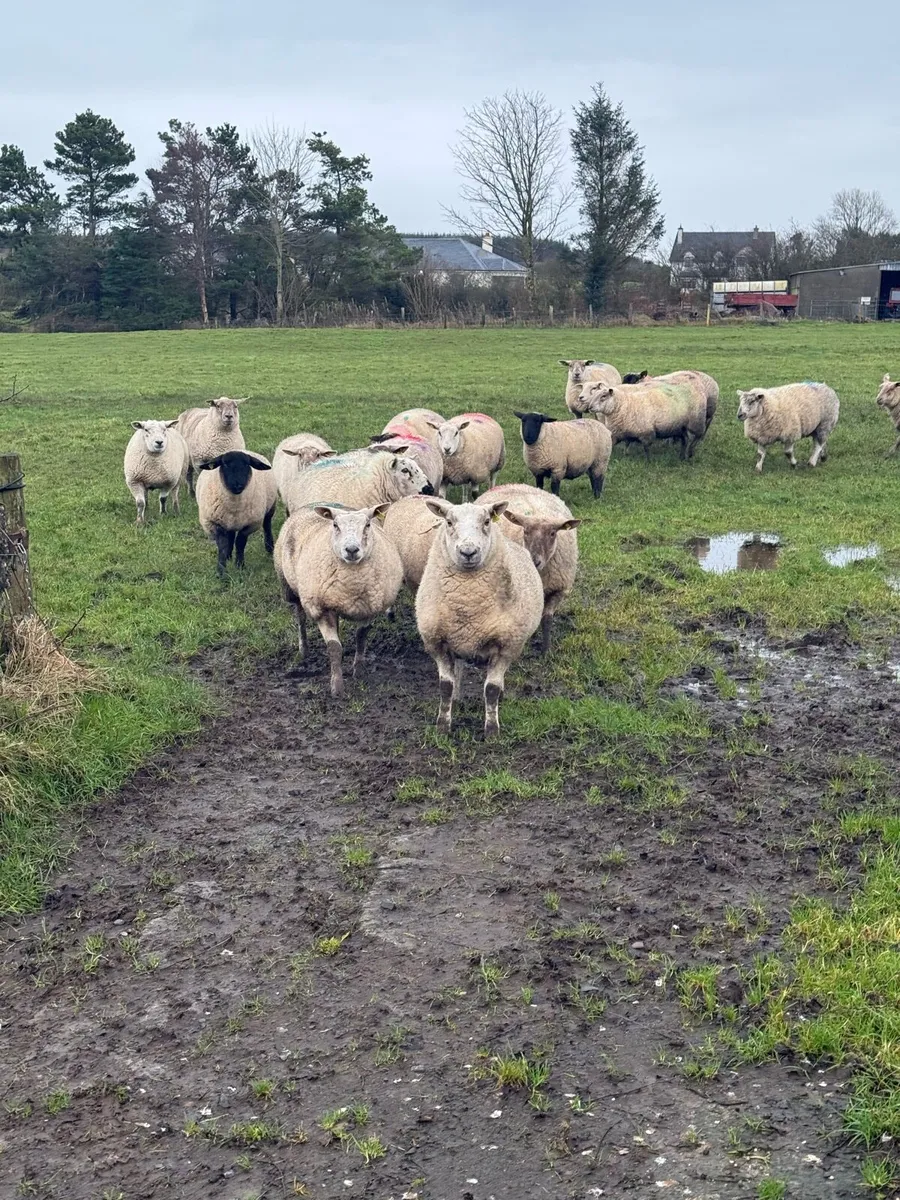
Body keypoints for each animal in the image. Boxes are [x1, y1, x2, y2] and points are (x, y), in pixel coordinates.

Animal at [274, 503, 402, 698]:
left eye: (367, 524)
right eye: (335, 525)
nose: (351, 550)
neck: (352, 585)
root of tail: (310, 505)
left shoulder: (369, 607)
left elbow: (361, 637)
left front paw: (358, 671)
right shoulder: (322, 609)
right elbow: (334, 647)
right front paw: (337, 687)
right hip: (291, 588)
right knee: (300, 618)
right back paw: (304, 649)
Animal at [415, 498, 544, 737]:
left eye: (486, 521)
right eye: (448, 522)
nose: (468, 551)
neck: (468, 603)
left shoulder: (506, 646)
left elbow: (491, 689)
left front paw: (492, 730)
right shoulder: (437, 643)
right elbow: (445, 687)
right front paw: (443, 726)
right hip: (458, 640)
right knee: (459, 667)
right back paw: (457, 698)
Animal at [475, 483, 581, 654]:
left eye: (553, 533)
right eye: (525, 530)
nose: (535, 560)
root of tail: (514, 484)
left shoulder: (558, 590)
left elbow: (547, 619)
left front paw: (546, 651)